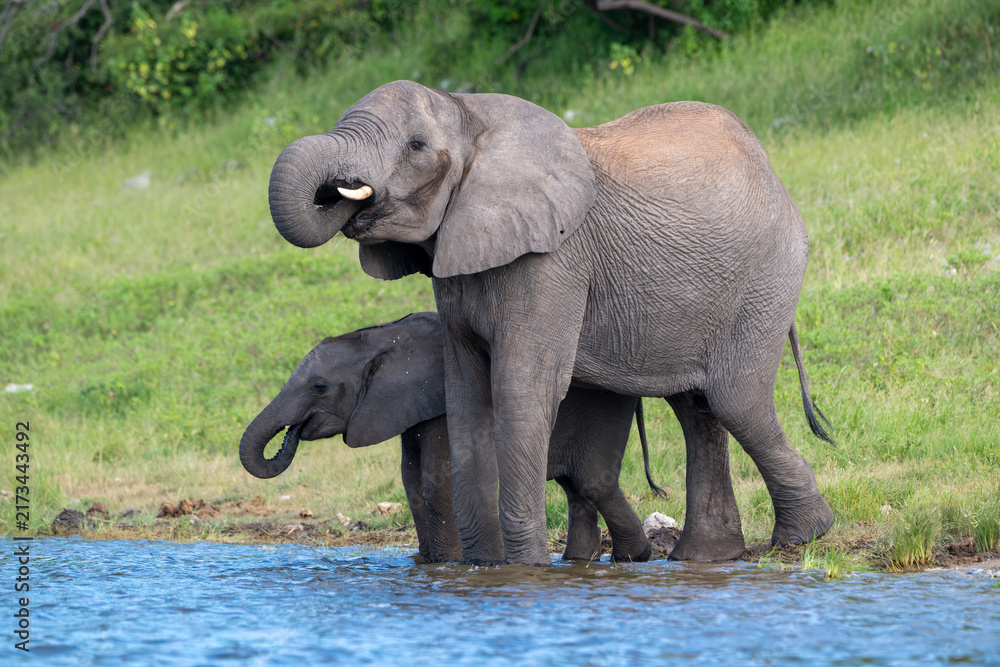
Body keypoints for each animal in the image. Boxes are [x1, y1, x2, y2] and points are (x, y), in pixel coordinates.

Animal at [239, 312, 668, 563]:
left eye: (319, 387)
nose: (293, 432)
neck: (381, 338)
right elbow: (411, 482)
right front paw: (426, 563)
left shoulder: (441, 404)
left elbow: (437, 481)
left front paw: (448, 564)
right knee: (576, 488)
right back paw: (580, 563)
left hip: (605, 408)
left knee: (592, 481)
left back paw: (636, 556)